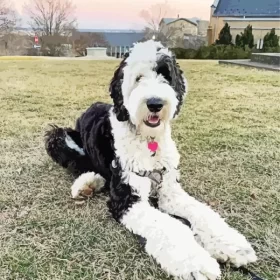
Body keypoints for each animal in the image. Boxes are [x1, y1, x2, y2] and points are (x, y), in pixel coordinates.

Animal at [44, 40, 258, 280]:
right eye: (138, 78)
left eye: (166, 75)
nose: (155, 103)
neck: (149, 141)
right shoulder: (127, 198)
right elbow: (170, 226)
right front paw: (195, 262)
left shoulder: (170, 190)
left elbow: (202, 211)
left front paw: (232, 244)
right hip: (58, 136)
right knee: (79, 164)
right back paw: (87, 184)